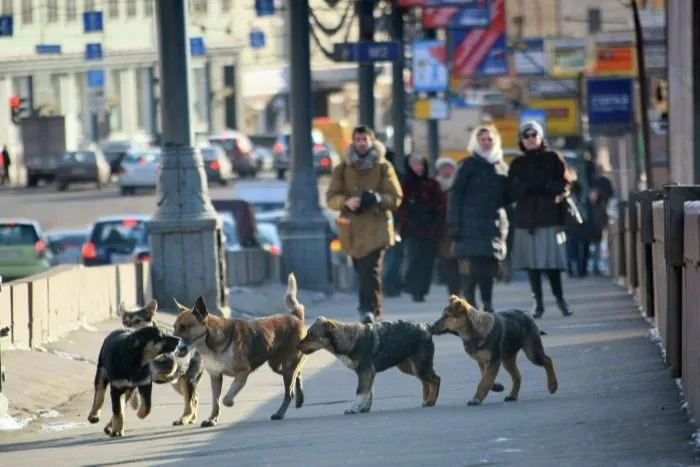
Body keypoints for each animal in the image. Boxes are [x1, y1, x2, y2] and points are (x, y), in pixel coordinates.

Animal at [117, 300, 204, 428]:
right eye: (125, 322)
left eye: (138, 321)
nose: (126, 330)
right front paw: (135, 400)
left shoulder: (170, 365)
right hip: (177, 382)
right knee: (195, 397)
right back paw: (191, 418)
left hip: (187, 379)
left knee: (190, 401)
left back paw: (183, 419)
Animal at [172, 274, 306, 428]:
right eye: (174, 327)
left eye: (185, 327)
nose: (173, 345)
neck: (208, 343)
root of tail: (295, 317)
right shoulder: (215, 377)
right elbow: (215, 401)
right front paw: (212, 419)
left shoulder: (243, 373)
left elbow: (225, 398)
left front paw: (230, 403)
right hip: (278, 366)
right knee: (297, 374)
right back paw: (299, 398)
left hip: (287, 366)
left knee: (289, 392)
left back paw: (280, 413)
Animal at [298, 318, 440, 414]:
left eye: (311, 335)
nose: (297, 346)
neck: (349, 340)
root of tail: (427, 327)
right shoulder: (368, 373)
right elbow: (368, 392)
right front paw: (364, 408)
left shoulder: (365, 372)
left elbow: (361, 392)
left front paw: (353, 408)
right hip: (410, 366)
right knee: (426, 381)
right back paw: (426, 400)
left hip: (419, 365)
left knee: (436, 379)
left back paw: (431, 401)